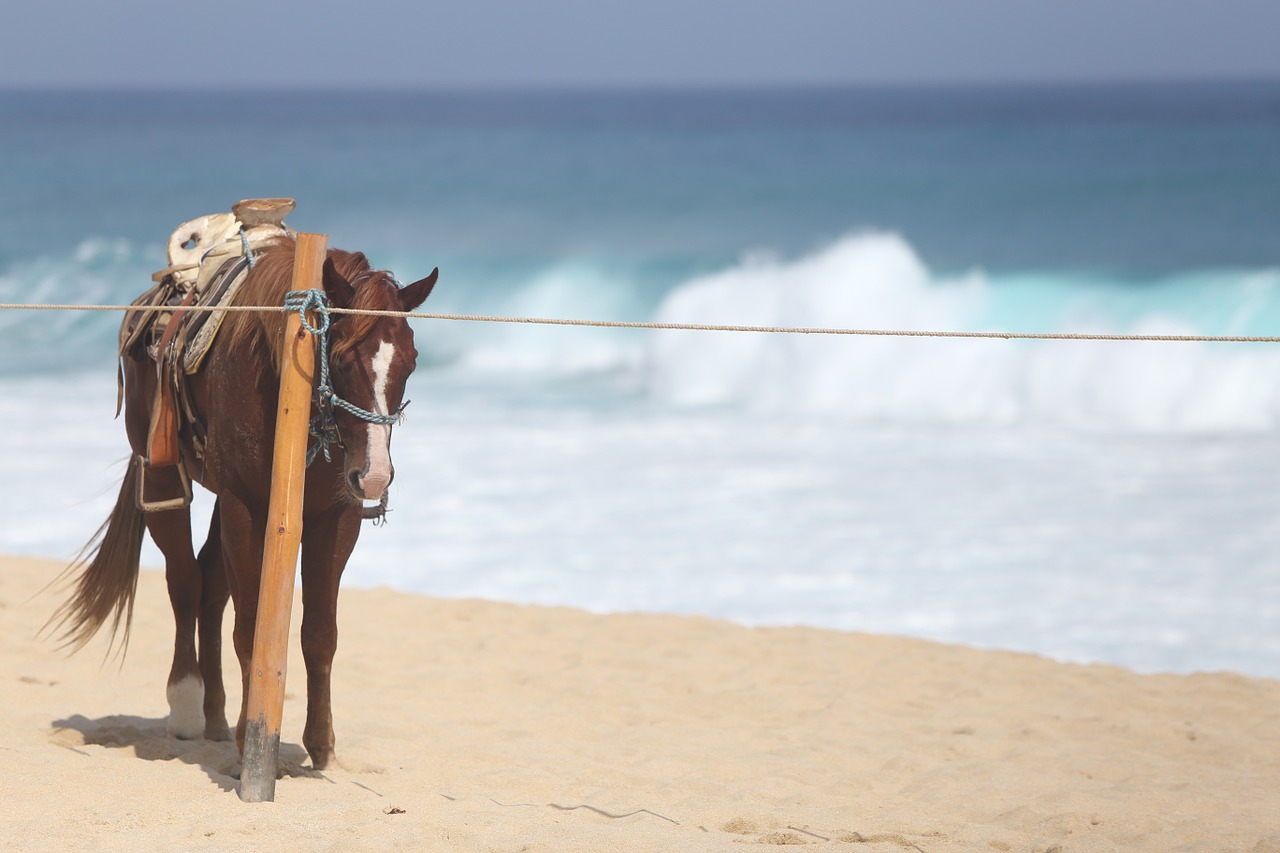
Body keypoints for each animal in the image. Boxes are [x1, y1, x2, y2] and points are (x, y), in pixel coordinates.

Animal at [52, 235, 440, 768]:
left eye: (412, 360)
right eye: (341, 359)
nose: (375, 476)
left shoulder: (335, 519)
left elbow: (320, 633)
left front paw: (321, 745)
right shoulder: (244, 508)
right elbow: (252, 623)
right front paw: (250, 743)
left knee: (211, 588)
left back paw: (216, 716)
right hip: (163, 478)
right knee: (186, 582)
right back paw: (188, 706)